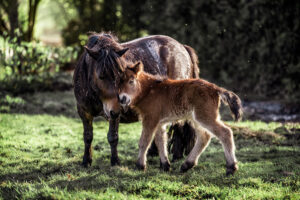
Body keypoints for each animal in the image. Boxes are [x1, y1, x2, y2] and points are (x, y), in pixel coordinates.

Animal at [73, 32, 199, 167]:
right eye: (101, 76)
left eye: (120, 76)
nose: (118, 109)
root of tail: (182, 47)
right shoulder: (84, 112)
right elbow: (88, 136)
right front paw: (86, 161)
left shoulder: (113, 115)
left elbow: (113, 137)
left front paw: (115, 161)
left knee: (178, 126)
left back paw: (176, 156)